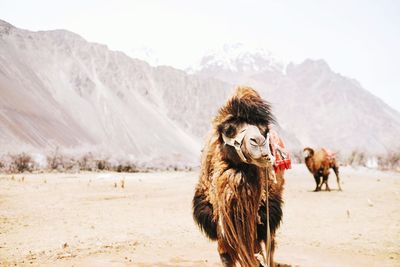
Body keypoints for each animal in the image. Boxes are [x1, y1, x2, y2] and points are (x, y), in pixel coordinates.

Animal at [191, 87, 290, 266]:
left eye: (263, 129)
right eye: (229, 129)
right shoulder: (218, 222)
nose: (258, 142)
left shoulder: (261, 217)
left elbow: (259, 252)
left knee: (271, 244)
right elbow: (226, 256)